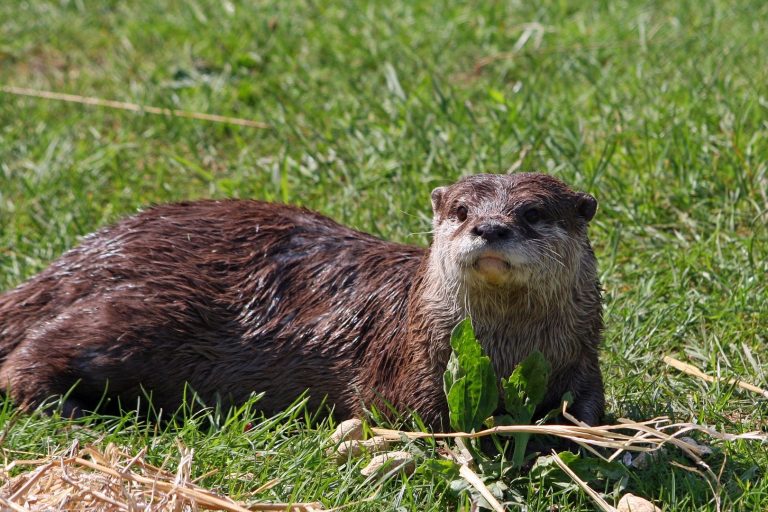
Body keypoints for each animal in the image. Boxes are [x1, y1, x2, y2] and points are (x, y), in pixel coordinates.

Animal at [0, 174, 608, 426]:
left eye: (533, 213)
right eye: (460, 211)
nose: (489, 227)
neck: (506, 352)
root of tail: (94, 251)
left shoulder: (581, 355)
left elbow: (588, 407)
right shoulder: (406, 365)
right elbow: (405, 417)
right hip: (142, 313)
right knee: (28, 358)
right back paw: (74, 412)